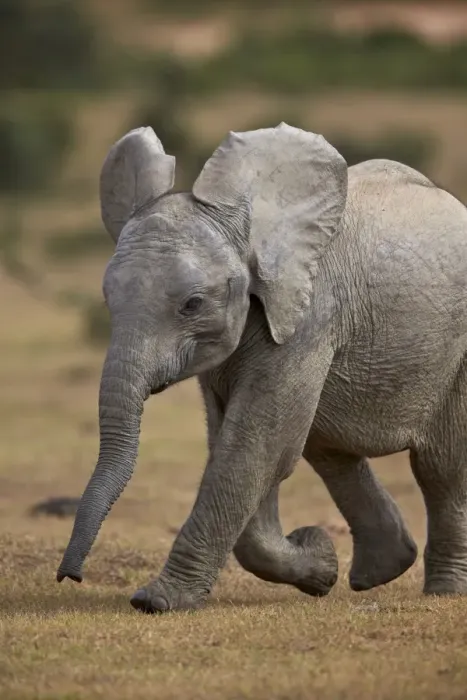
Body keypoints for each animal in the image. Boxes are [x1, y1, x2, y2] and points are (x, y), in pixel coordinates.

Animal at [57, 122, 467, 613]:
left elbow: (255, 446)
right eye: (107, 300)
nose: (69, 576)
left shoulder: (308, 316)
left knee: (440, 467)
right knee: (329, 448)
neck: (251, 231)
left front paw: (156, 602)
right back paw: (377, 570)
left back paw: (443, 591)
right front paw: (320, 566)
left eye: (192, 304)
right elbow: (244, 446)